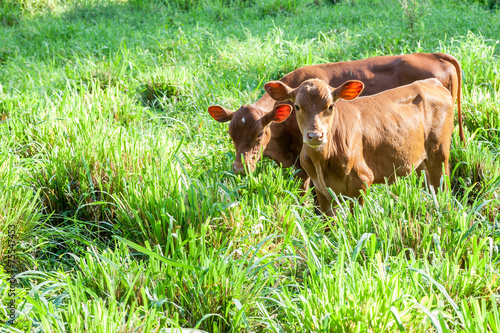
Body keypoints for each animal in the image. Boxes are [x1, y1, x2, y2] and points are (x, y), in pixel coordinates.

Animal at [266, 76, 458, 214]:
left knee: (444, 190)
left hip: (439, 154)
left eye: (330, 106)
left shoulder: (361, 181)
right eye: (297, 106)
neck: (322, 161)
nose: (315, 135)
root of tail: (431, 82)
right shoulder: (321, 189)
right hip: (420, 161)